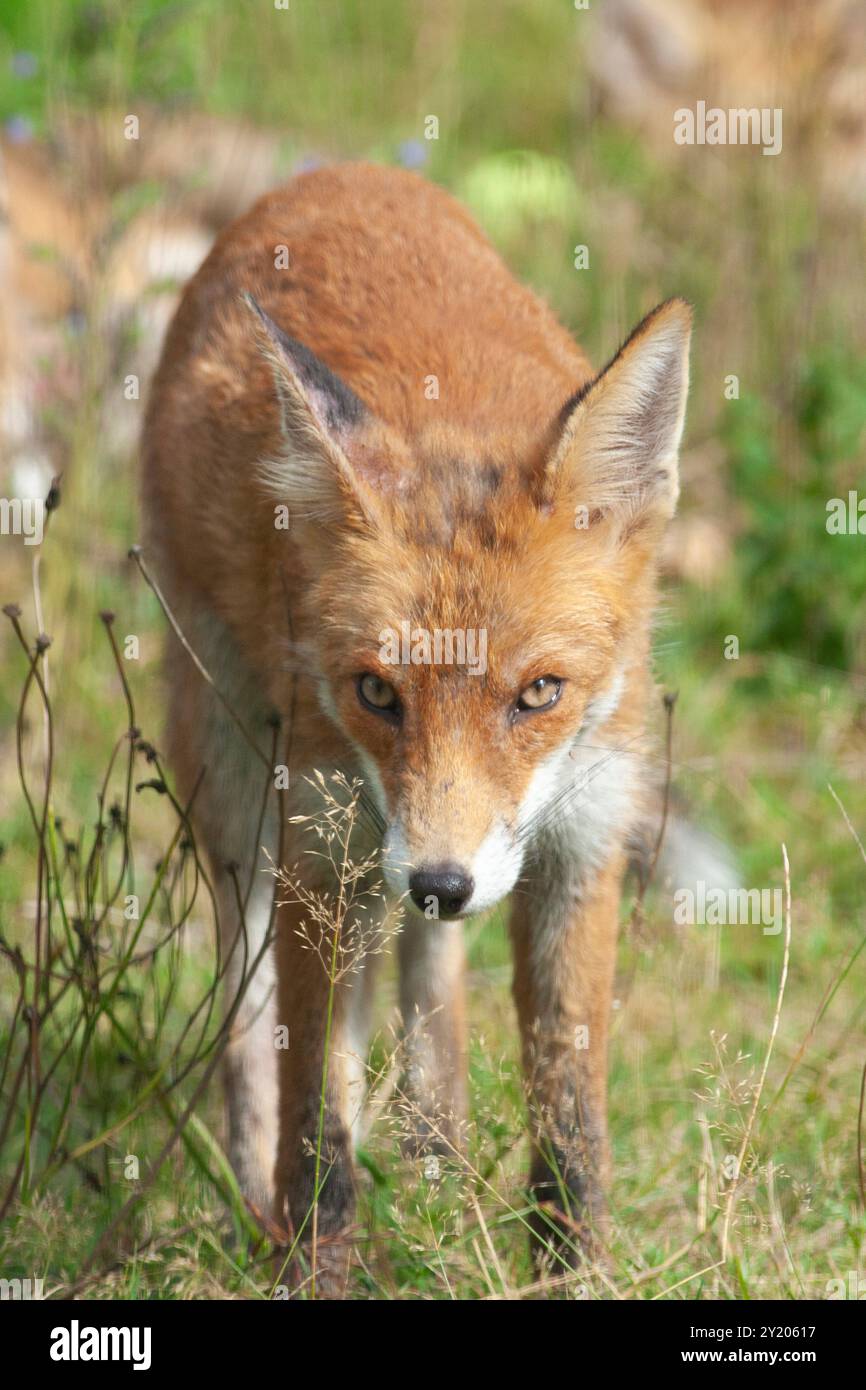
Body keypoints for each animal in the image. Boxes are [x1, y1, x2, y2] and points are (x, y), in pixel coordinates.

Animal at [143, 159, 692, 1278]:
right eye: (375, 692)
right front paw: (312, 1266)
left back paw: (441, 1173)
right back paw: (253, 1206)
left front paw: (569, 1272)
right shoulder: (319, 848)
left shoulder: (581, 836)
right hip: (237, 790)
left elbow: (569, 1113)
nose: (441, 882)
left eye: (540, 693)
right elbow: (316, 1118)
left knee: (429, 992)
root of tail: (338, 172)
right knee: (249, 1027)